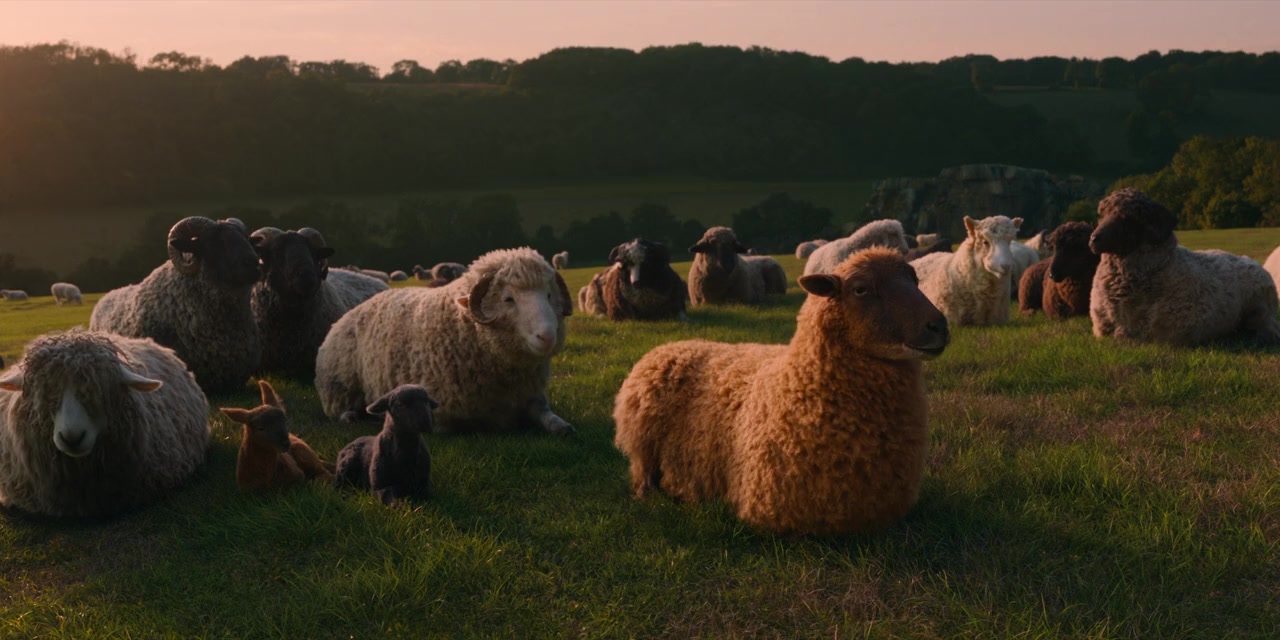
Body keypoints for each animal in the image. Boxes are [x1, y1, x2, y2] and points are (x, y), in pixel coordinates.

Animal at [315, 247, 575, 434]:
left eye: (549, 295)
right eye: (508, 299)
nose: (547, 336)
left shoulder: (531, 396)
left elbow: (552, 420)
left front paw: (563, 426)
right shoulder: (440, 415)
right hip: (341, 385)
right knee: (341, 410)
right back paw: (352, 417)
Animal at [613, 247, 949, 534]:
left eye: (915, 280)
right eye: (861, 289)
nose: (939, 327)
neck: (795, 381)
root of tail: (671, 345)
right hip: (642, 441)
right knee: (642, 477)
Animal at [1089, 188, 1280, 347]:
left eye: (1128, 218)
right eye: (1101, 215)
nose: (1093, 239)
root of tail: (1252, 261)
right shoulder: (1103, 330)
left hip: (1259, 310)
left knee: (1268, 330)